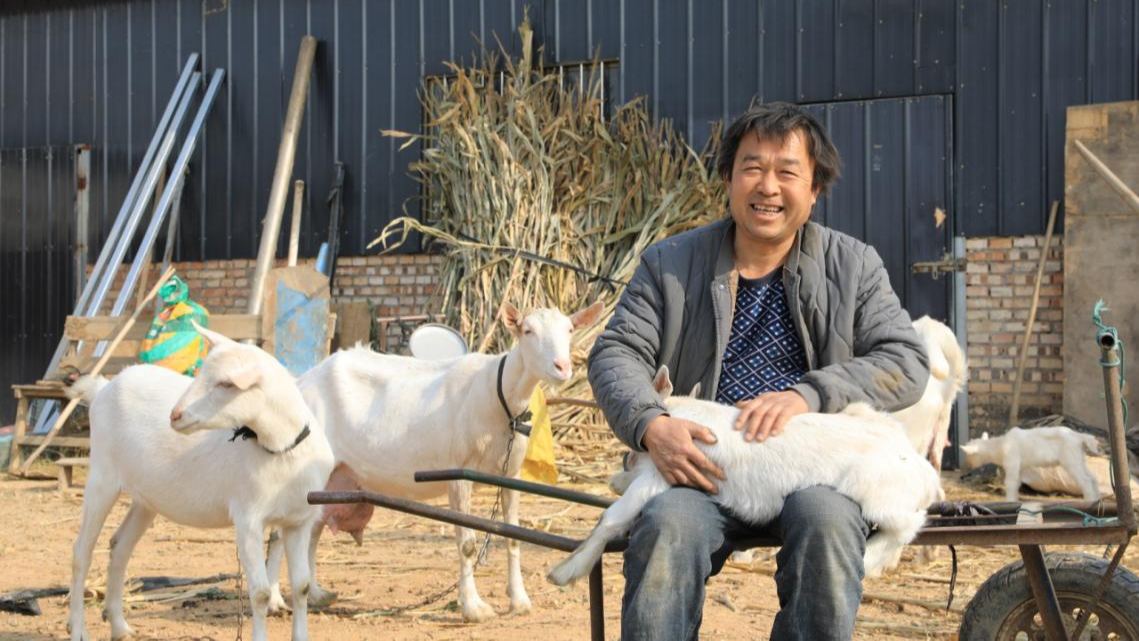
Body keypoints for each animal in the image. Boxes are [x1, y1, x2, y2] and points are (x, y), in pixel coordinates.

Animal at [67, 326, 334, 641]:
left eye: (225, 383)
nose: (175, 415)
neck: (282, 450)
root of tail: (102, 389)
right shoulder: (248, 518)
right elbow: (260, 593)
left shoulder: (299, 520)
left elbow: (301, 586)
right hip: (102, 477)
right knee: (81, 552)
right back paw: (78, 628)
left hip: (146, 497)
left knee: (119, 545)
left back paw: (119, 626)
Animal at [265, 301, 604, 622]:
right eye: (528, 331)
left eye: (569, 330)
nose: (562, 367)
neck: (497, 394)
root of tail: (301, 381)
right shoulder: (459, 473)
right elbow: (467, 543)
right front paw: (474, 608)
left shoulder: (511, 472)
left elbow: (514, 537)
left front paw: (519, 602)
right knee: (281, 532)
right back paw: (274, 602)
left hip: (332, 475)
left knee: (312, 530)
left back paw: (316, 594)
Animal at [548, 366, 941, 587]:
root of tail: (924, 474)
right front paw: (616, 480)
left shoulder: (660, 476)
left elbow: (611, 519)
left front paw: (567, 571)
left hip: (876, 496)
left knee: (909, 525)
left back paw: (870, 559)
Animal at [960, 426, 1102, 501]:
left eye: (968, 455)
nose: (967, 466)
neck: (1001, 446)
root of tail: (1079, 437)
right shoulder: (1020, 467)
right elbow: (1016, 484)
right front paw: (1014, 500)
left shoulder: (1012, 463)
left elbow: (1010, 484)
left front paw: (1009, 500)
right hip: (1079, 458)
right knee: (1093, 477)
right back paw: (1096, 499)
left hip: (1071, 460)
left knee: (1085, 480)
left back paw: (1089, 500)